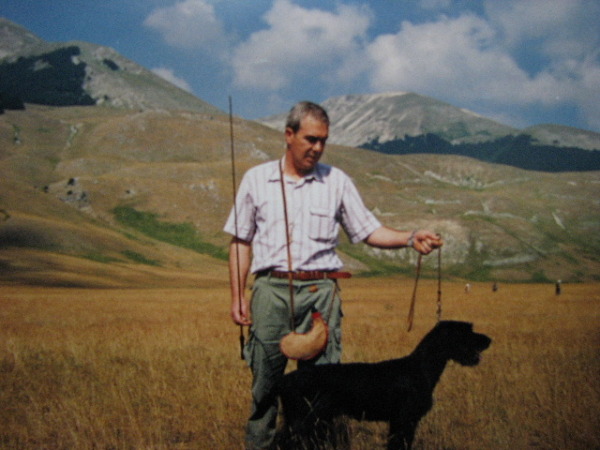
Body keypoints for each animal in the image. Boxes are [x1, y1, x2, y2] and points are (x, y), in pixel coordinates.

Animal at [278, 322, 490, 448]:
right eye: (467, 331)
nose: (489, 339)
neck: (420, 368)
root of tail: (285, 379)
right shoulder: (405, 420)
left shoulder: (399, 421)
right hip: (303, 421)